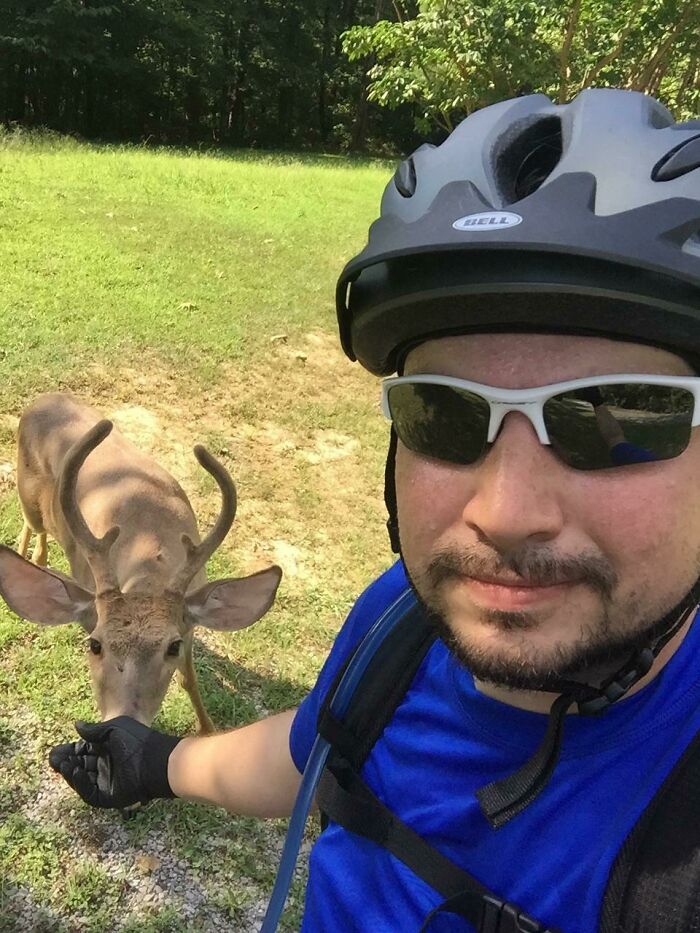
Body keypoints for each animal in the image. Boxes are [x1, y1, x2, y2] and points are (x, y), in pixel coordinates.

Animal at [0, 392, 282, 734]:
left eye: (172, 646)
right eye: (95, 644)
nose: (121, 725)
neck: (149, 556)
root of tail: (43, 399)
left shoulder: (189, 623)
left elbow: (189, 679)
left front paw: (207, 729)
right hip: (27, 495)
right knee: (32, 525)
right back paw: (26, 553)